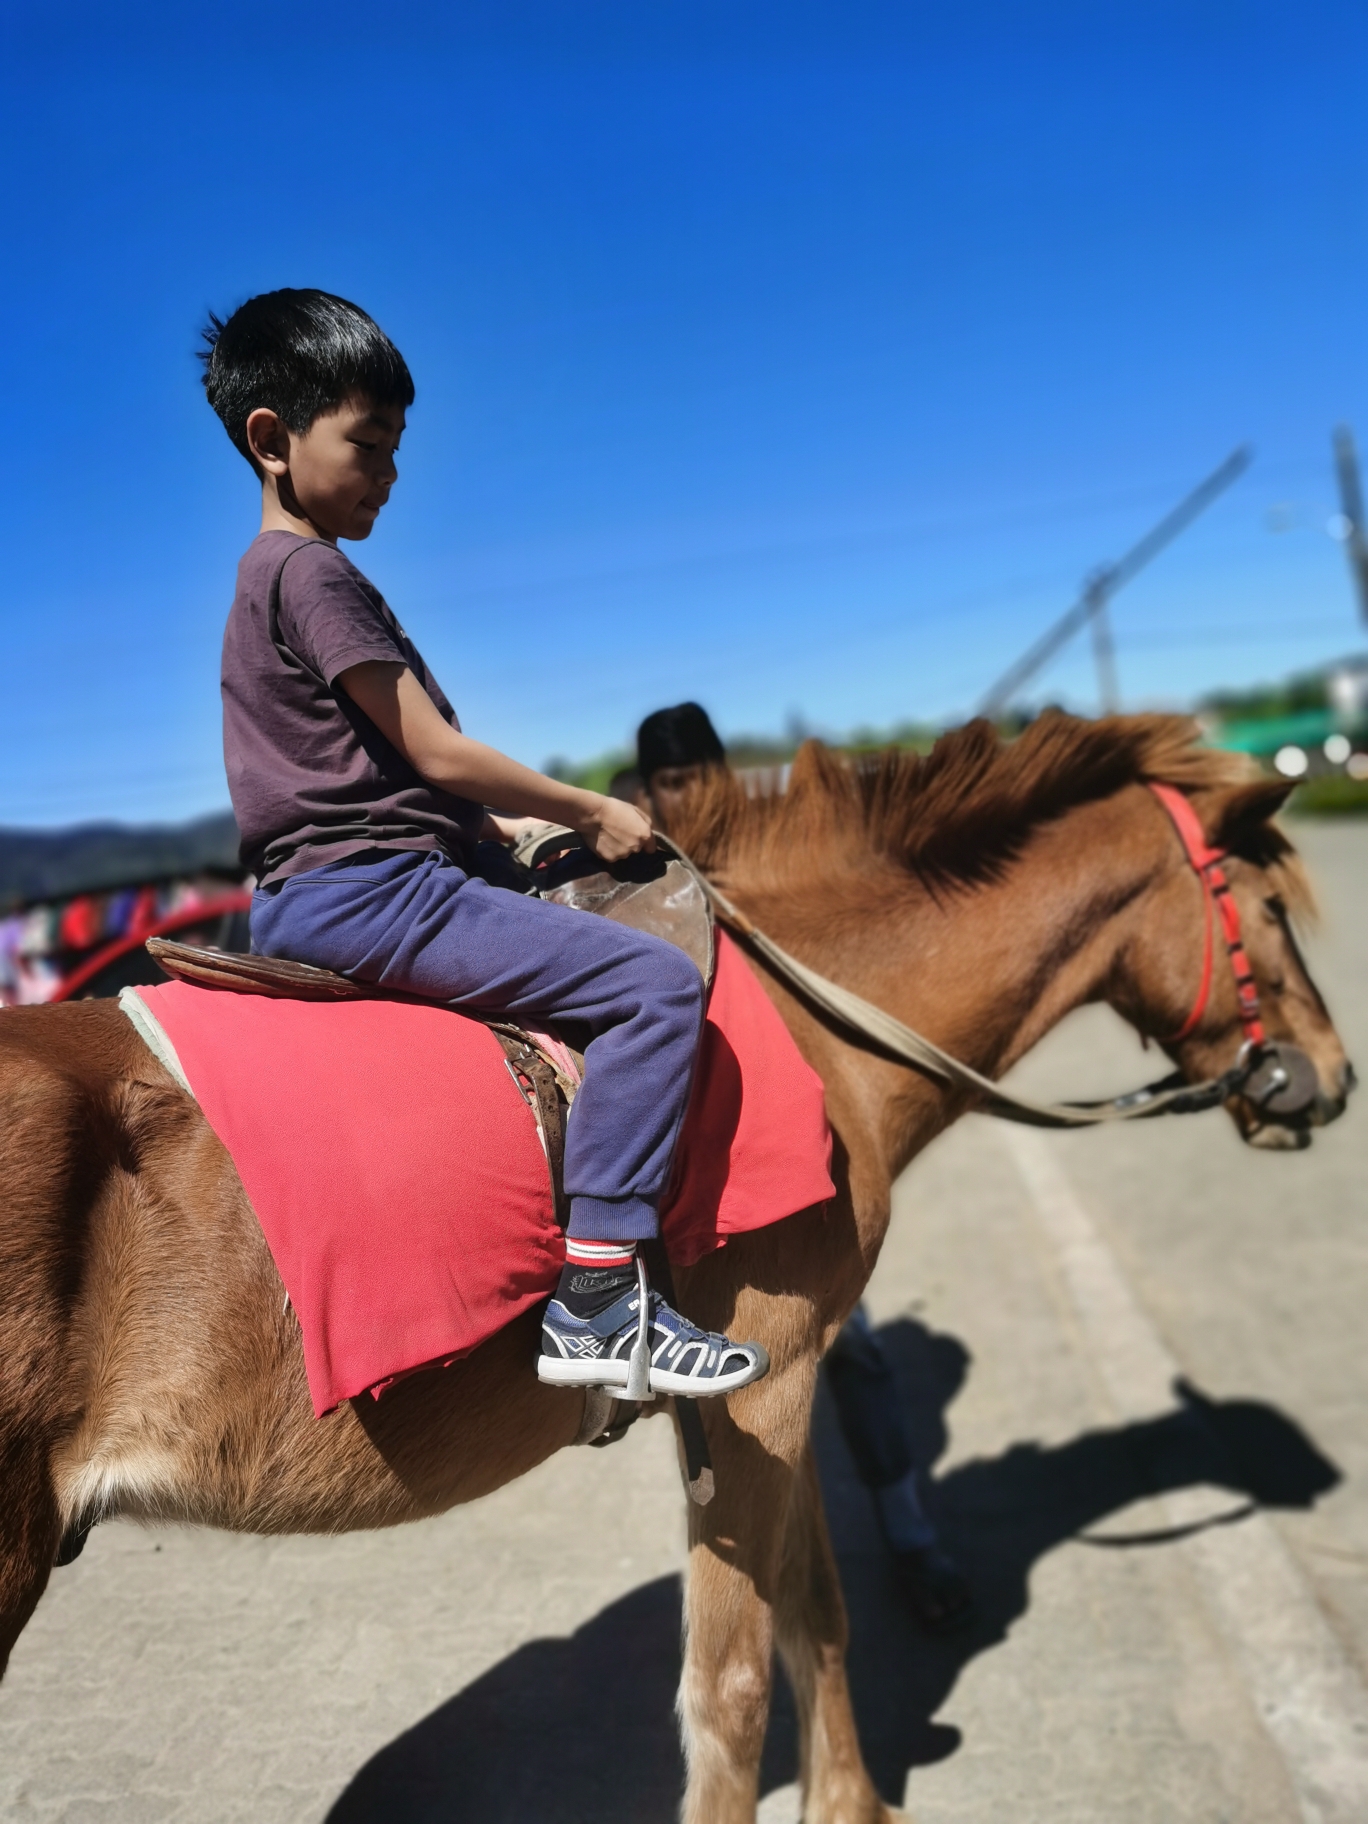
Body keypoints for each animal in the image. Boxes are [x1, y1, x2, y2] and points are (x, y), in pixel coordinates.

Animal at [0, 711, 1349, 1824]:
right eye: (1273, 911)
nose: (1329, 1080)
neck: (818, 1025)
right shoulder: (771, 1384)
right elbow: (734, 1689)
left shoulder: (773, 1396)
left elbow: (818, 1617)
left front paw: (853, 1807)